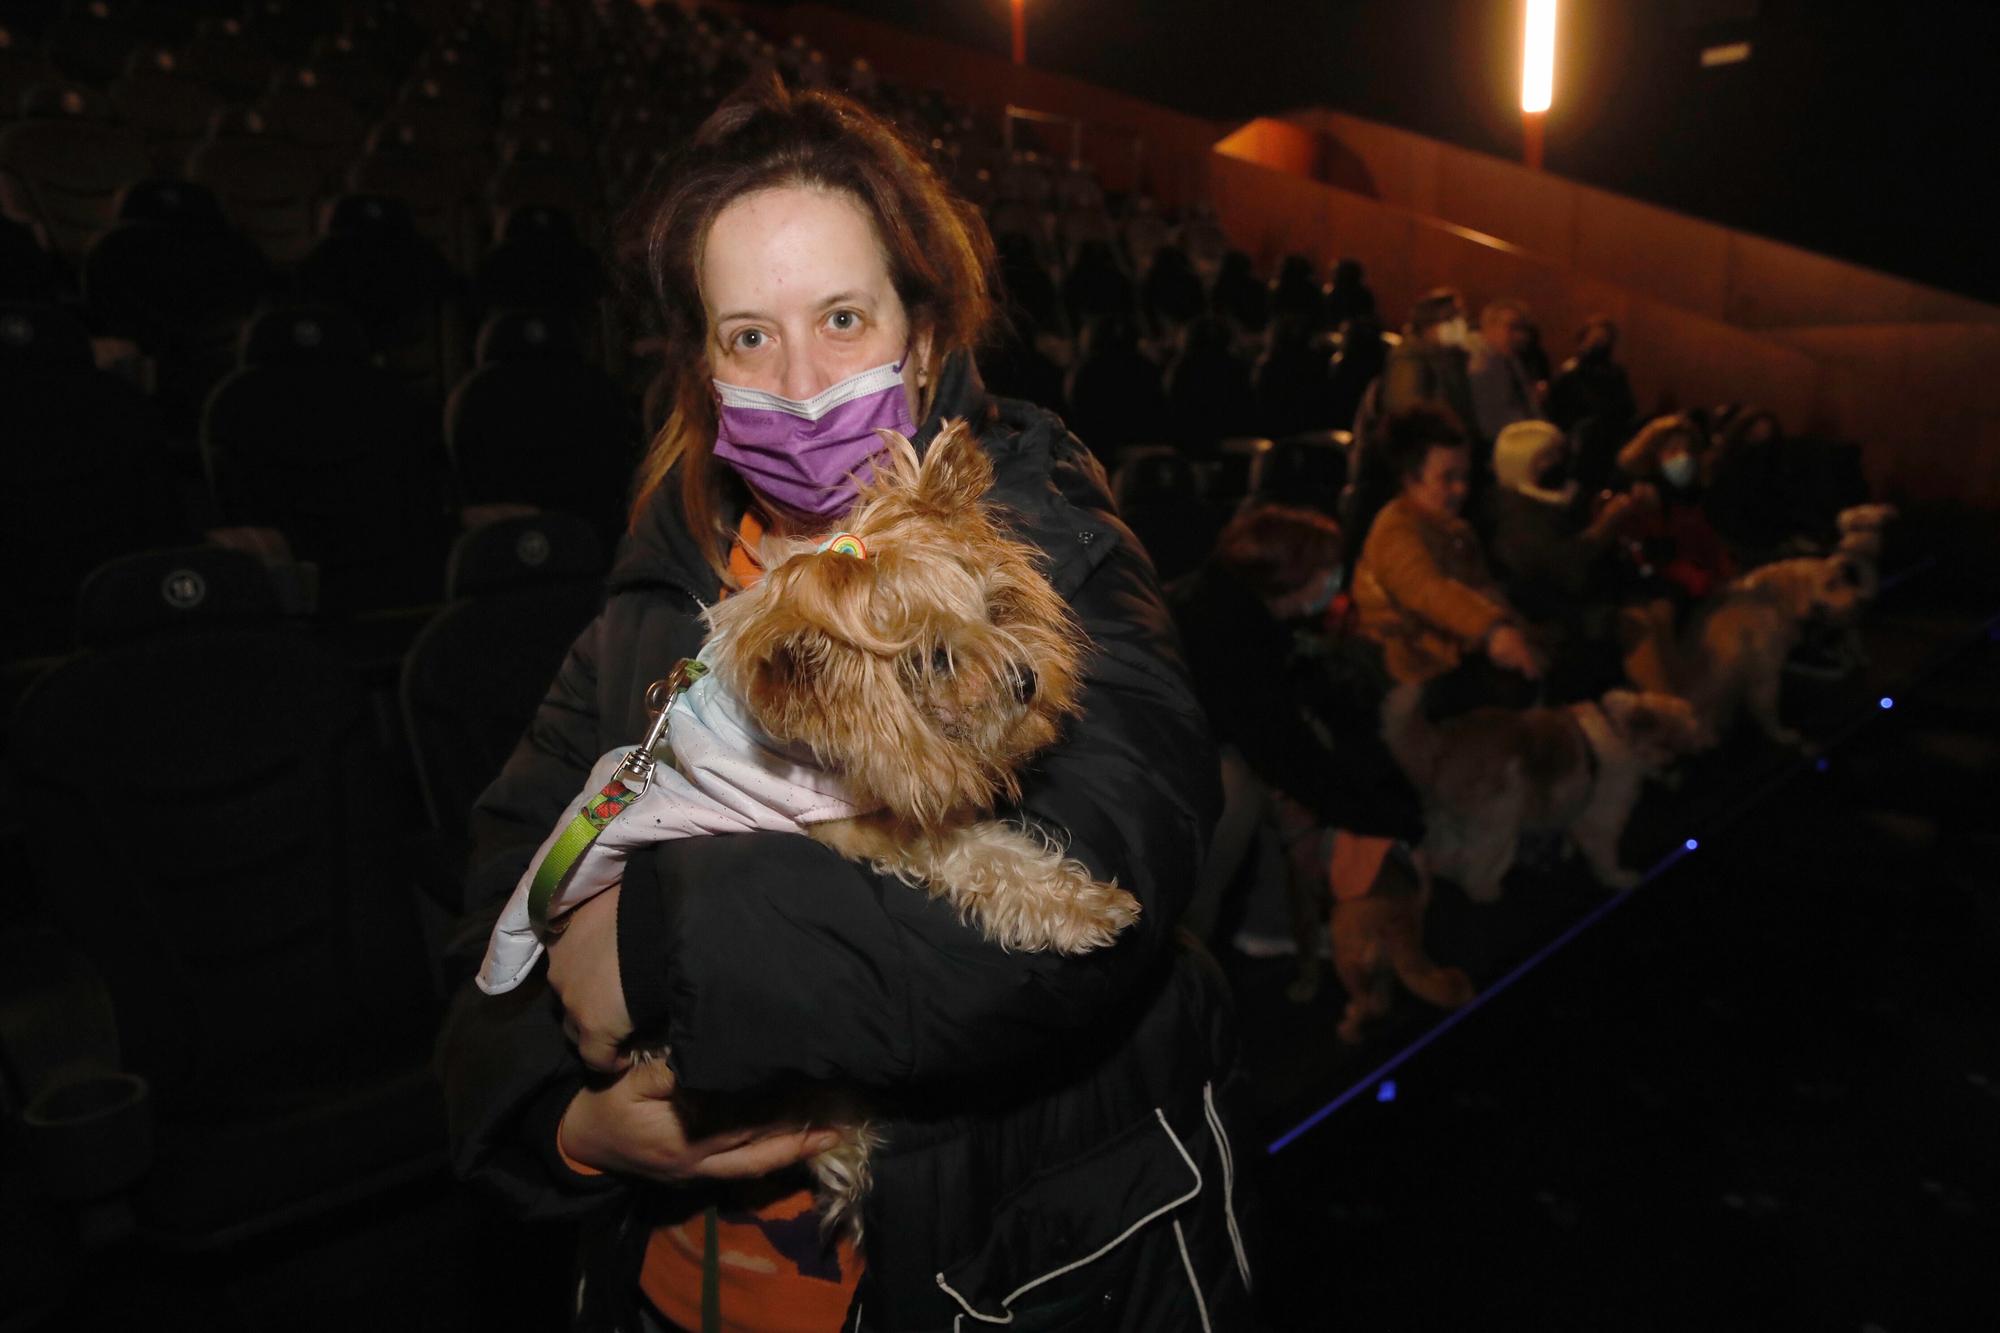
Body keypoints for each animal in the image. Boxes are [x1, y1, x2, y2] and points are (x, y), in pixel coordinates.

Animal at [1392, 680, 1704, 896]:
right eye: (1674, 741)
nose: (1686, 770)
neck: (1619, 731)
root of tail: (1443, 743)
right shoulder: (1603, 817)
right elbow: (1605, 855)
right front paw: (1618, 878)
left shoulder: (1576, 810)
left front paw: (1564, 852)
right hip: (1499, 820)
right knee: (1469, 869)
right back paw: (1487, 892)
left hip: (1452, 821)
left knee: (1433, 856)